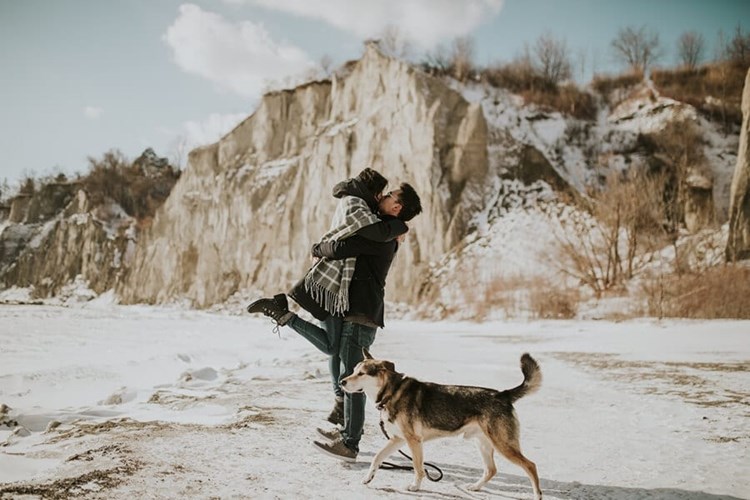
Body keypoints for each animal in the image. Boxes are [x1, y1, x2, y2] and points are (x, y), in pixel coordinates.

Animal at [342, 350, 548, 498]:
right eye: (353, 371)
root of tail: (502, 395)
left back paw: (537, 495)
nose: (342, 381)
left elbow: (418, 467)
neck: (391, 392)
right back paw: (475, 487)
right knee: (491, 470)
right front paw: (368, 478)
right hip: (483, 444)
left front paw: (415, 487)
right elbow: (377, 457)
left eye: (361, 374)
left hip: (503, 445)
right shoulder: (398, 440)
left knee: (531, 466)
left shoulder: (413, 441)